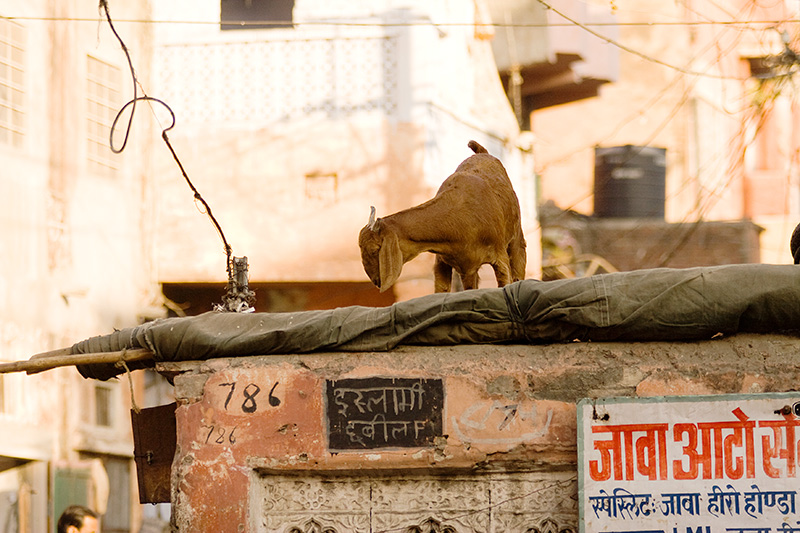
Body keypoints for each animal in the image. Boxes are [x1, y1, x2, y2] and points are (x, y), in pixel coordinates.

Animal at [360, 139, 524, 294]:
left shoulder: (499, 257)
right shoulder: (446, 262)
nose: (376, 281)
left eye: (374, 250)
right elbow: (442, 290)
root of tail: (482, 152)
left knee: (519, 267)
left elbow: (505, 283)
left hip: (516, 238)